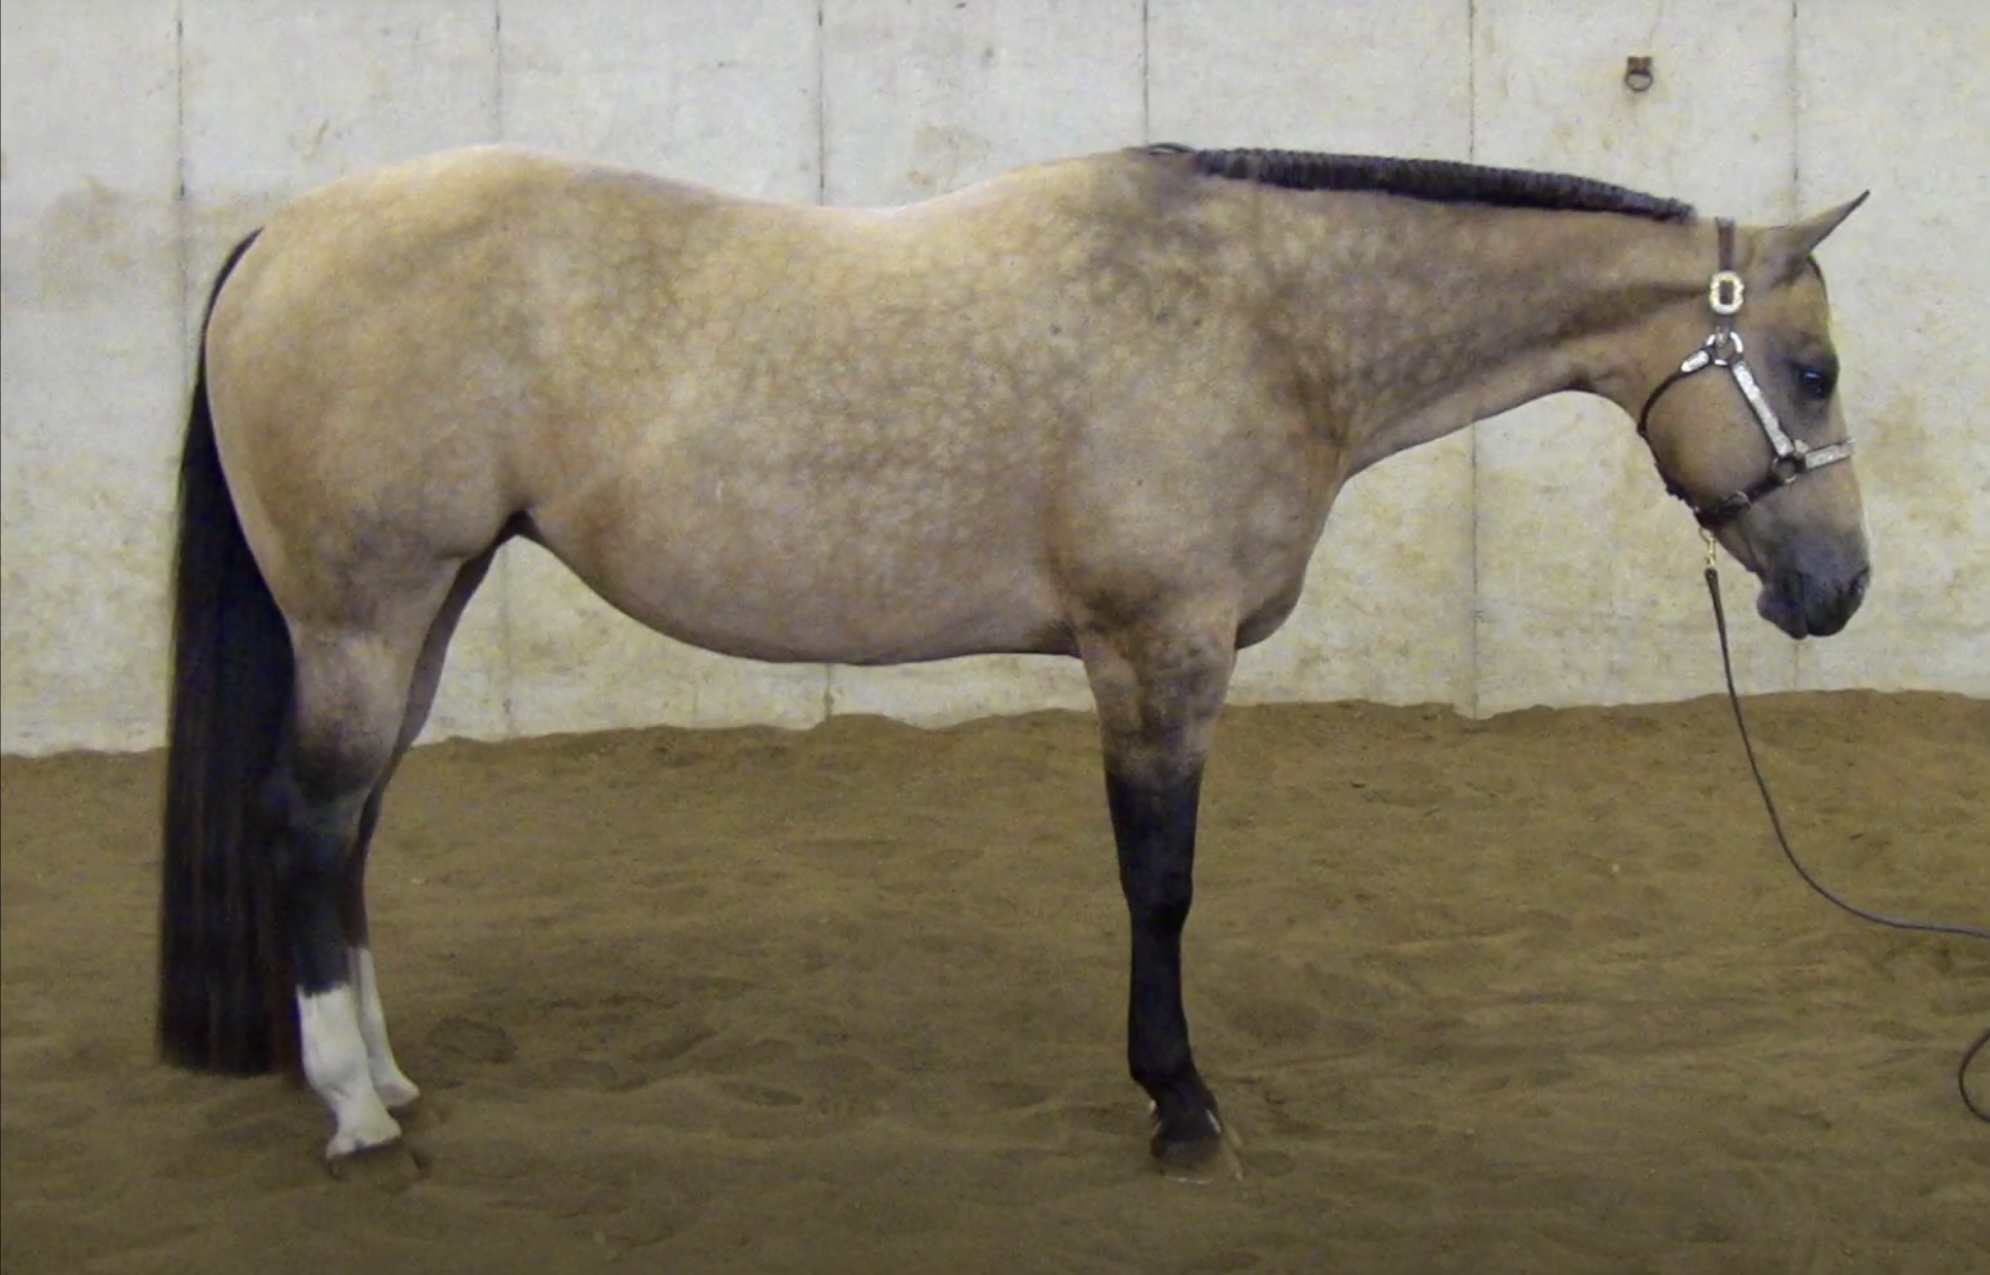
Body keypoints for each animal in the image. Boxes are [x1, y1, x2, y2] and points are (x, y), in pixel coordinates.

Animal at [156, 143, 1870, 1167]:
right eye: (1810, 366)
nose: (1839, 587)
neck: (1264, 320)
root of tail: (280, 235)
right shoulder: (1156, 652)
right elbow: (1159, 881)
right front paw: (1179, 1101)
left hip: (424, 608)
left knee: (352, 833)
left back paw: (386, 1071)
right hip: (368, 613)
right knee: (306, 824)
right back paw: (355, 1105)